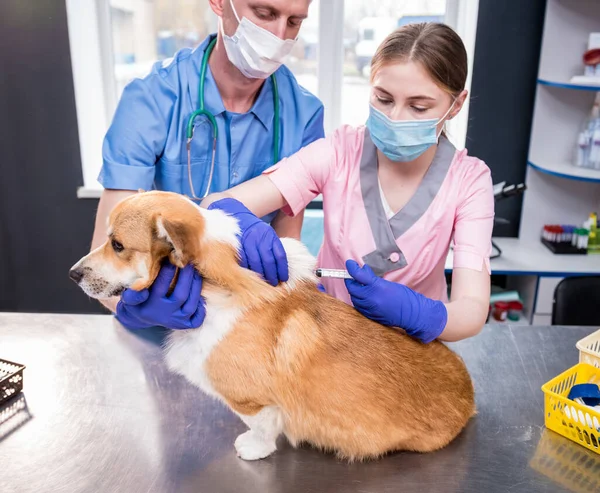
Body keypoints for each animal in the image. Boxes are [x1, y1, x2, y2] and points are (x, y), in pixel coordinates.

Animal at [70, 190, 474, 460]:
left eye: (117, 244)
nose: (73, 274)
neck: (213, 287)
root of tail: (469, 399)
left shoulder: (252, 401)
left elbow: (262, 427)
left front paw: (253, 448)